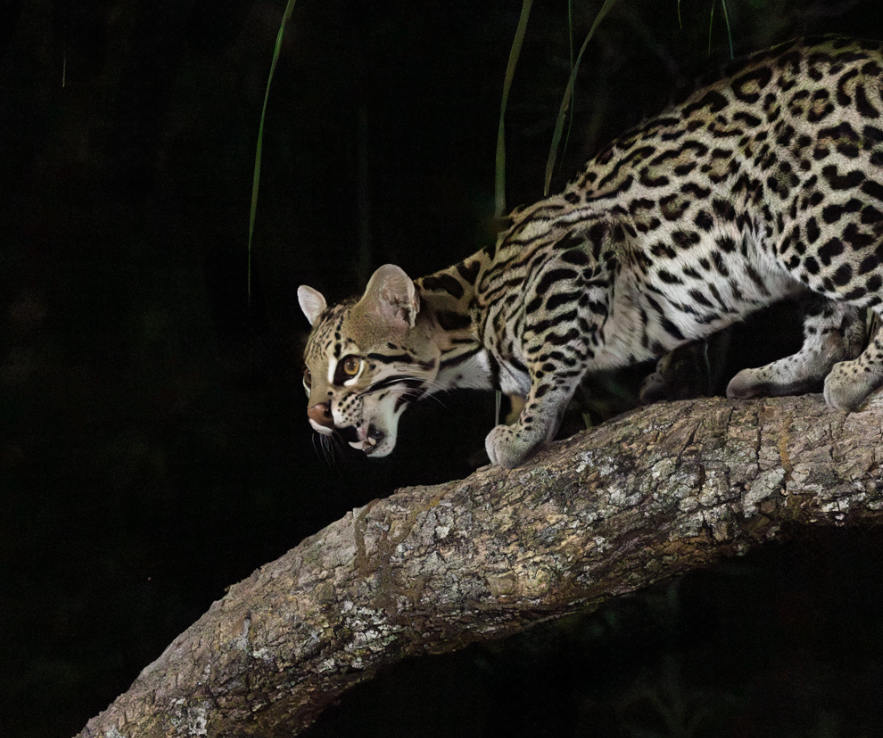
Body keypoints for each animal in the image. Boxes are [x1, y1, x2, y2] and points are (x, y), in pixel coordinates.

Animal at [298, 37, 883, 466]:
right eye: (307, 378)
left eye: (349, 366)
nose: (317, 416)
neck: (467, 328)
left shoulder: (574, 253)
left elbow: (550, 361)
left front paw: (522, 432)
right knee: (835, 329)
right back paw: (775, 375)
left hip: (807, 217)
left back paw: (856, 376)